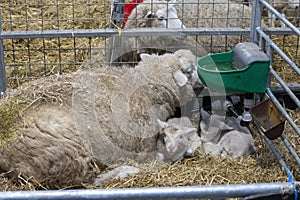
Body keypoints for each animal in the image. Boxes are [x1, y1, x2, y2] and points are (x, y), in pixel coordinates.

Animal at [0, 48, 200, 189]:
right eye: (190, 71)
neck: (145, 81)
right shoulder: (147, 145)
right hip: (70, 156)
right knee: (88, 181)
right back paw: (124, 170)